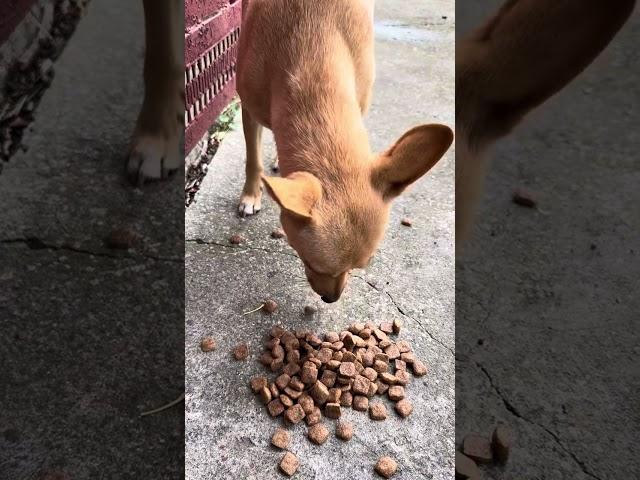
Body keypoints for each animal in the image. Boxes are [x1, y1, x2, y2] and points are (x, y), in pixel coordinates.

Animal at [238, 0, 452, 302]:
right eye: (309, 261)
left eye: (361, 266)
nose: (332, 298)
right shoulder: (248, 108)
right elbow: (252, 158)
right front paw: (251, 194)